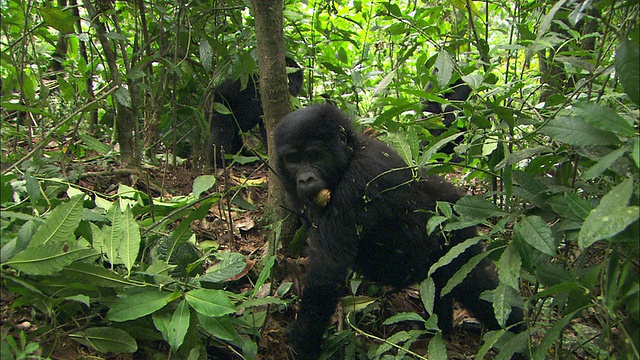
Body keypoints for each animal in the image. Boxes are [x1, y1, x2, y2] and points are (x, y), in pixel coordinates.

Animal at [276, 103, 524, 358]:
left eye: (314, 155)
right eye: (292, 159)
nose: (305, 179)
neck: (350, 153)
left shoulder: (356, 182)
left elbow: (326, 273)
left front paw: (302, 341)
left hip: (456, 234)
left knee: (472, 282)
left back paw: (517, 334)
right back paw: (438, 328)